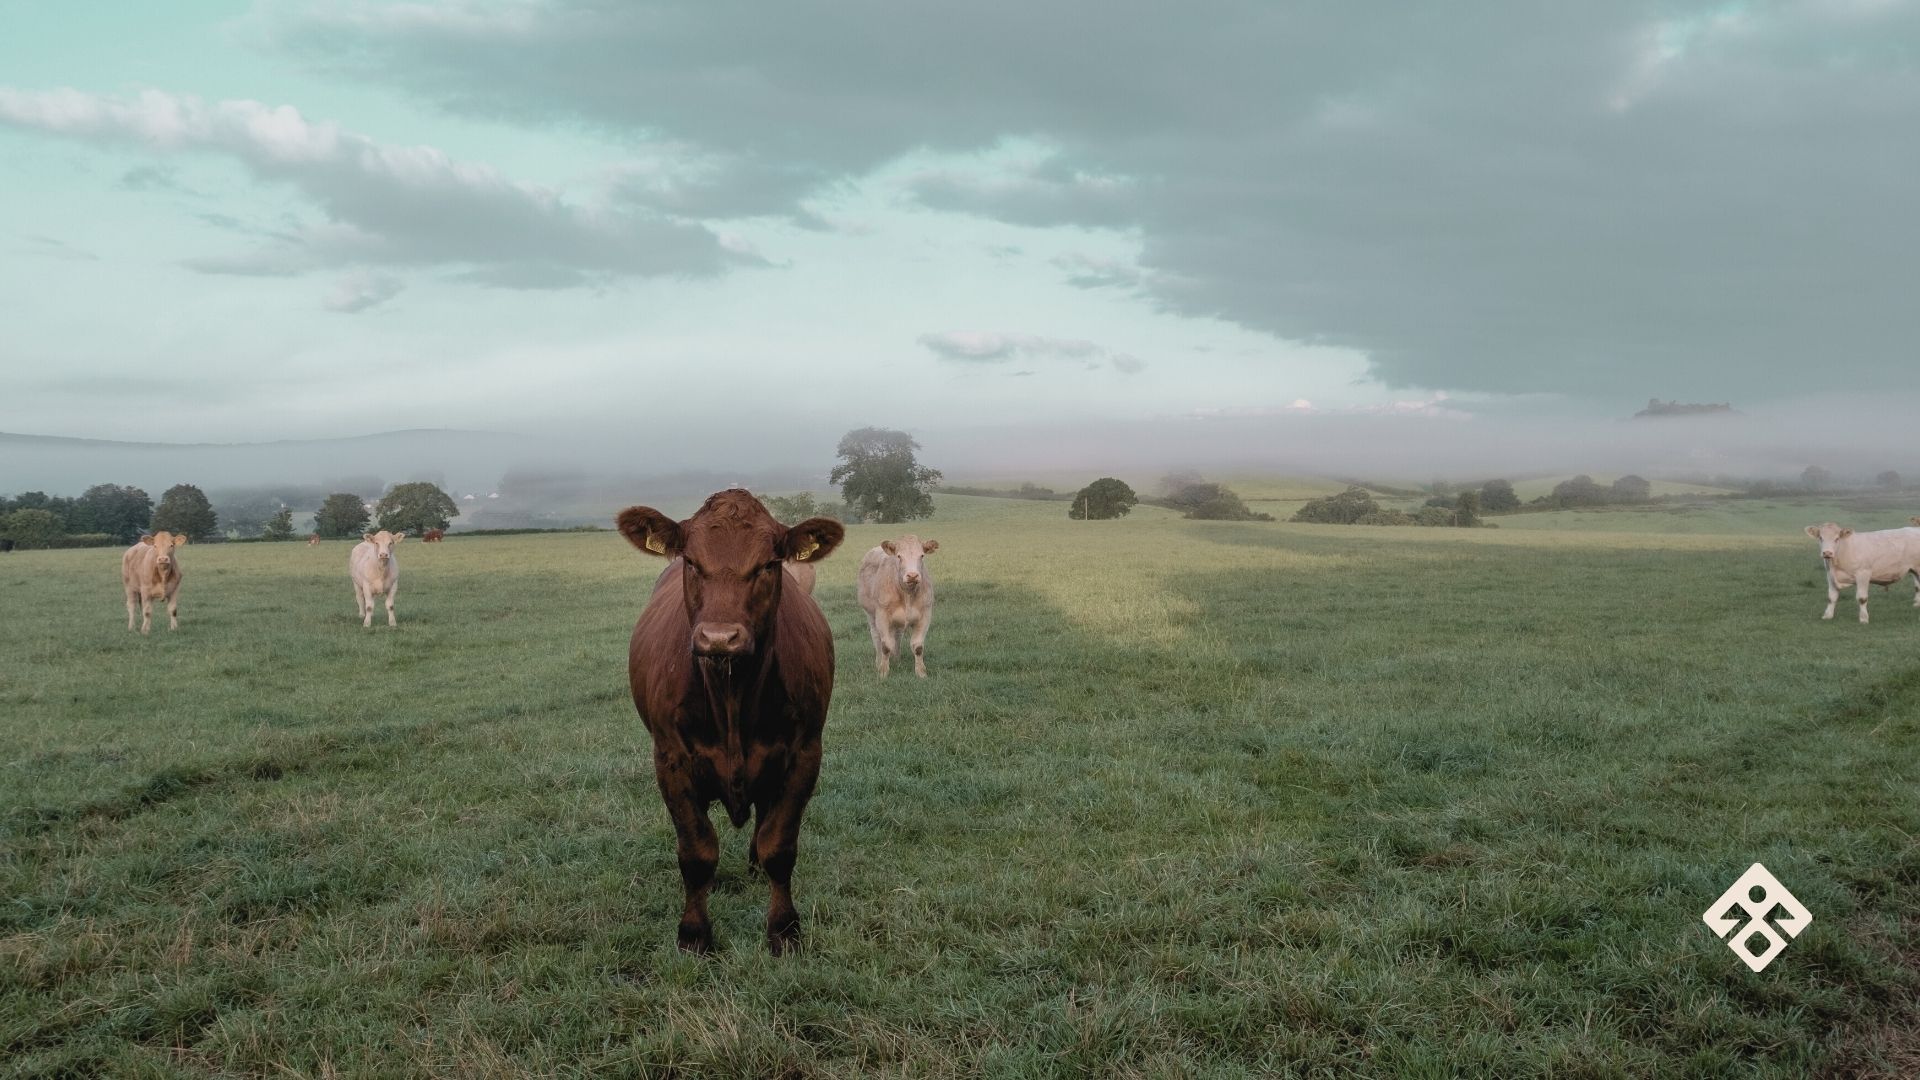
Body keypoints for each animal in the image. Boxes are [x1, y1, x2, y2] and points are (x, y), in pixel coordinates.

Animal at [618, 488, 844, 949]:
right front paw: (694, 934)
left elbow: (780, 847)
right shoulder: (670, 760)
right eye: (691, 561)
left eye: (769, 564)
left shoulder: (805, 754)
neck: (732, 696)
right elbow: (697, 852)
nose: (719, 638)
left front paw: (784, 929)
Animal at [860, 534, 940, 676]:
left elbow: (918, 646)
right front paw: (883, 671)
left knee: (896, 637)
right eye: (899, 556)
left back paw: (896, 659)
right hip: (870, 615)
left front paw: (921, 673)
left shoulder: (925, 615)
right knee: (876, 637)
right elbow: (885, 646)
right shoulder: (882, 616)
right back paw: (878, 661)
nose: (912, 575)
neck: (907, 594)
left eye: (922, 555)